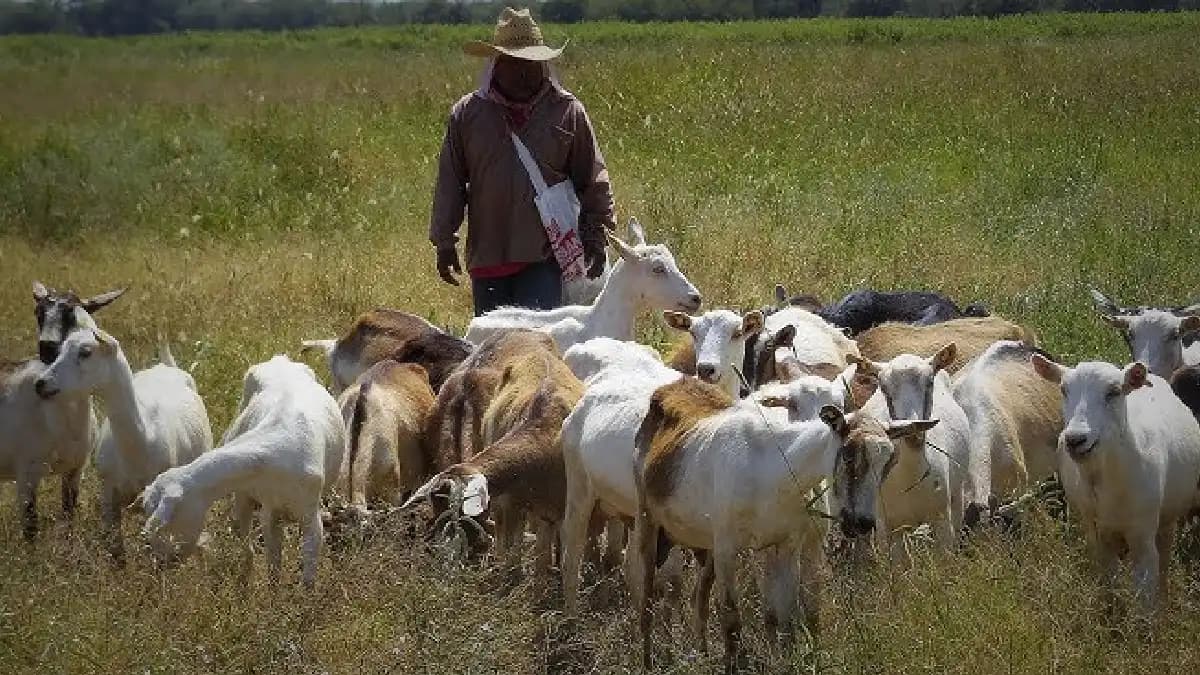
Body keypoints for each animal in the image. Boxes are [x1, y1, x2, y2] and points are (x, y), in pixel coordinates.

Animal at [36, 327, 213, 562]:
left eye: (86, 352)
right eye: (60, 349)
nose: (41, 383)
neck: (139, 445)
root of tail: (166, 366)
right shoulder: (108, 495)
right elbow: (116, 552)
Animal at [136, 355, 345, 588]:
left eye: (166, 522)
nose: (159, 564)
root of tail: (279, 359)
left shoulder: (310, 516)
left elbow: (307, 577)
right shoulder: (267, 510)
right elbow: (269, 564)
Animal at [630, 376, 935, 671]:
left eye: (890, 462)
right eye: (849, 454)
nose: (862, 522)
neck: (771, 468)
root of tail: (669, 389)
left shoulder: (785, 545)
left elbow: (786, 618)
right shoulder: (727, 548)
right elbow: (731, 621)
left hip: (702, 545)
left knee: (699, 597)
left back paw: (701, 654)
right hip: (648, 523)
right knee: (646, 601)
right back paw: (647, 662)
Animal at [1032, 354, 1200, 615]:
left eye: (1113, 392)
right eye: (1063, 389)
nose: (1075, 439)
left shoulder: (1142, 539)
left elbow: (1144, 601)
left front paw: (1147, 624)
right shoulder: (1097, 535)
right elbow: (1109, 591)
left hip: (1167, 518)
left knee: (1163, 559)